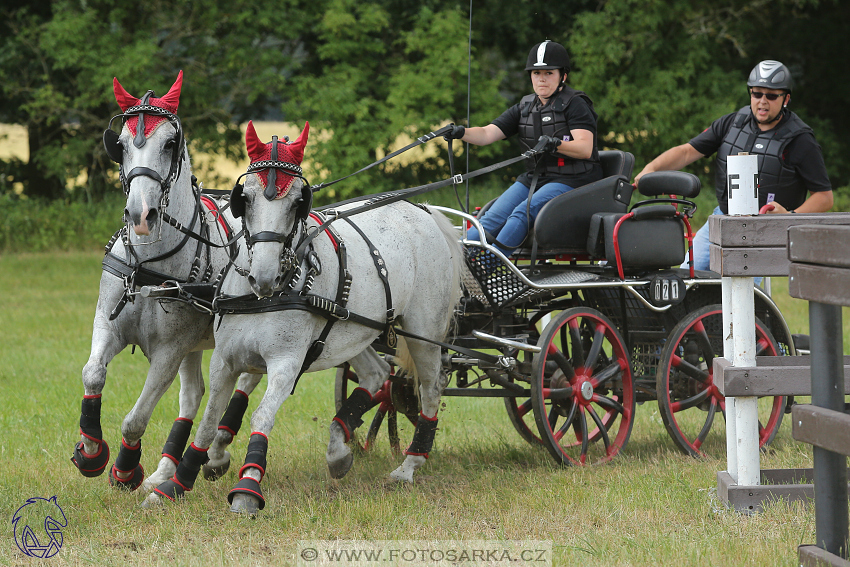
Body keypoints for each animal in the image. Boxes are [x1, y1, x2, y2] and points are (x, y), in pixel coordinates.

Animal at [76, 73, 262, 492]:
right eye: (120, 145)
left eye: (169, 144)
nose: (140, 214)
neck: (148, 264)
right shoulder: (107, 324)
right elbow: (93, 374)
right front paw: (91, 452)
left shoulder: (169, 350)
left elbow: (135, 419)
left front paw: (125, 469)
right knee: (193, 396)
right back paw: (166, 470)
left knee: (244, 379)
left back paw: (215, 453)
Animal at [147, 121, 464, 516]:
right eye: (245, 198)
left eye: (299, 200)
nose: (264, 276)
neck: (263, 296)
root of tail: (424, 211)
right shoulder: (224, 360)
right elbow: (207, 421)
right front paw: (176, 483)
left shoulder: (286, 363)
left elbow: (261, 416)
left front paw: (248, 486)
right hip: (353, 330)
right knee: (378, 374)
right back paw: (339, 448)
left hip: (423, 332)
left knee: (431, 389)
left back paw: (409, 465)